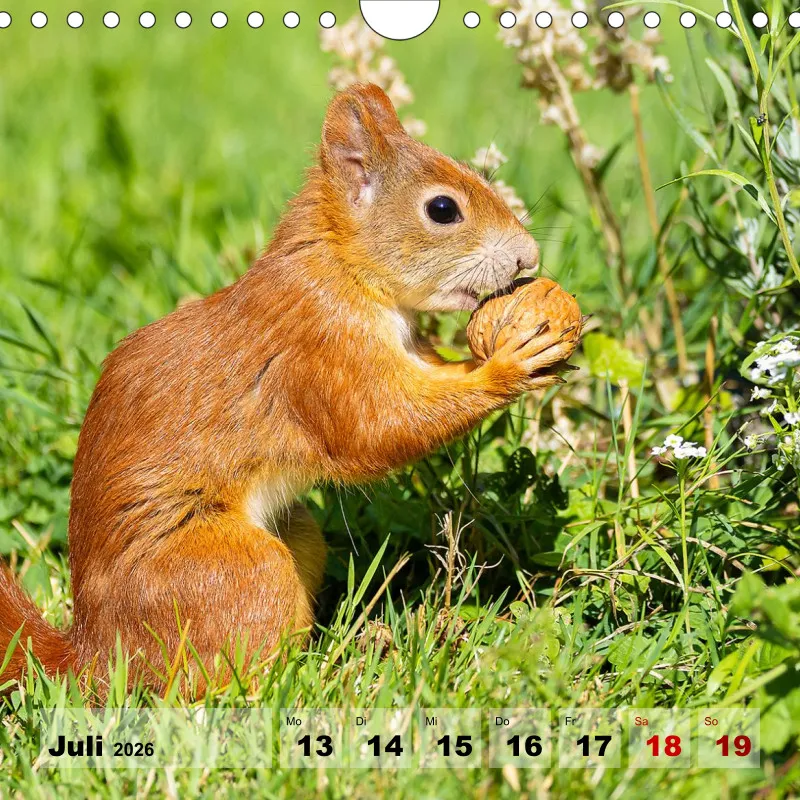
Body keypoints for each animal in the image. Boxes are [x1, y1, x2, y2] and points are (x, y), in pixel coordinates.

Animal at [0, 84, 575, 688]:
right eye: (443, 209)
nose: (529, 256)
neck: (341, 268)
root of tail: (96, 655)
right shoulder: (318, 348)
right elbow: (377, 430)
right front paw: (511, 362)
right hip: (233, 571)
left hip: (296, 534)